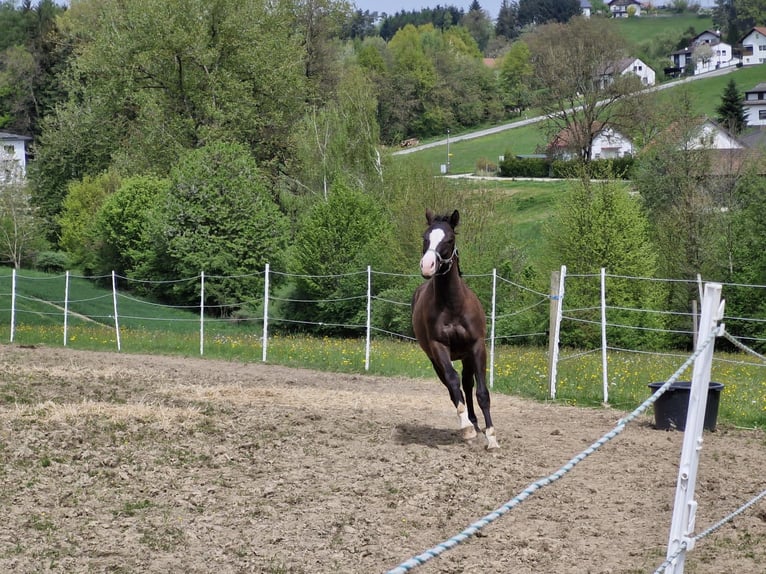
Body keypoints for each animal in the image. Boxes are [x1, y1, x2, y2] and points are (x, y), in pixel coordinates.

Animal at [412, 209, 500, 452]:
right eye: (425, 237)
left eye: (449, 239)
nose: (427, 265)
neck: (452, 305)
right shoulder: (439, 347)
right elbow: (453, 384)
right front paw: (468, 430)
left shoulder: (477, 347)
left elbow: (482, 393)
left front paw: (491, 437)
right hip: (435, 360)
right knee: (454, 388)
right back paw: (469, 425)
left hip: (467, 356)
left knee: (468, 386)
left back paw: (477, 424)